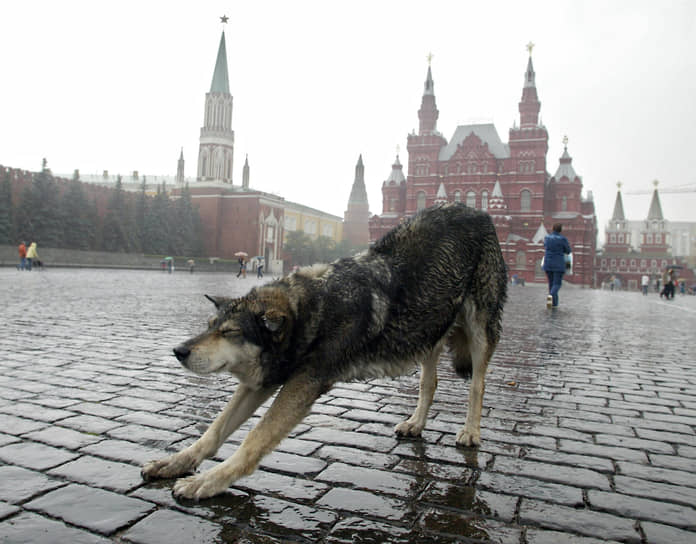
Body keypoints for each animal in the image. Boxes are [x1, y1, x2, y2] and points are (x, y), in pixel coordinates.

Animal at [144, 202, 508, 500]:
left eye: (230, 332)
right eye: (209, 326)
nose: (178, 351)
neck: (317, 310)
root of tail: (477, 211)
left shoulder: (302, 383)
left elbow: (253, 441)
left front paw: (208, 481)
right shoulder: (262, 381)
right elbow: (213, 432)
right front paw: (177, 462)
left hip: (478, 330)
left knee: (477, 385)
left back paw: (471, 431)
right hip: (428, 332)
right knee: (429, 383)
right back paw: (415, 424)